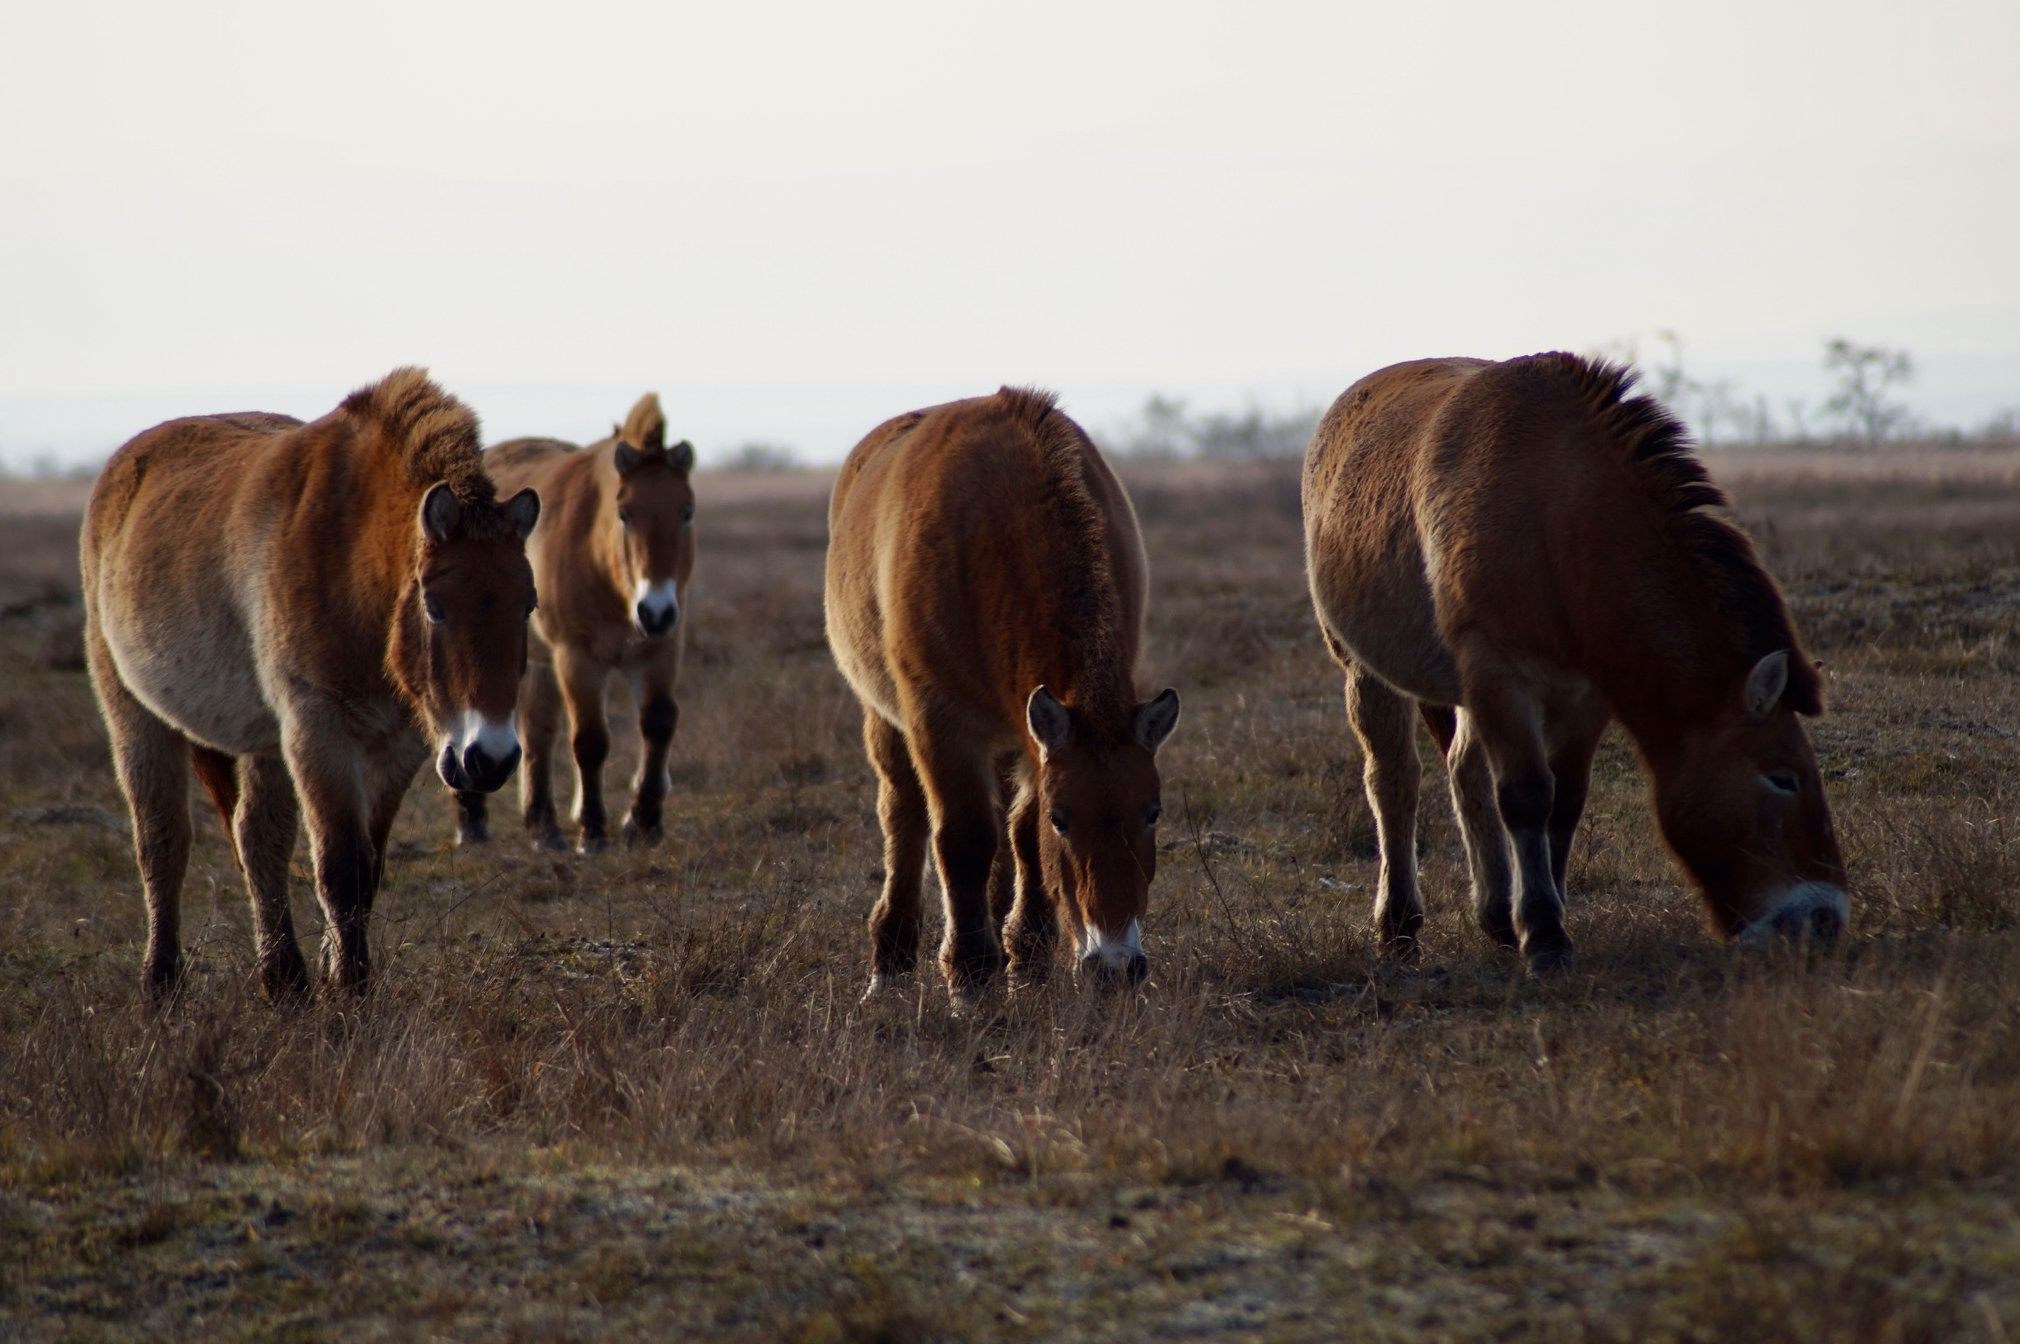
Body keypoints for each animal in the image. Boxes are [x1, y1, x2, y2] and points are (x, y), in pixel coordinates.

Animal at [81, 369, 539, 1000]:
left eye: (529, 606)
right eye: (435, 606)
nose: (488, 760)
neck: (352, 565)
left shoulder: (398, 746)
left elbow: (366, 867)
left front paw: (333, 975)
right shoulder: (319, 733)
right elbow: (341, 869)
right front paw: (349, 992)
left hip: (265, 742)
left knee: (258, 842)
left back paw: (284, 979)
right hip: (136, 716)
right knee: (162, 843)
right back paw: (162, 982)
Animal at [452, 393, 696, 852]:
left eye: (687, 511)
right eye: (624, 513)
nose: (655, 611)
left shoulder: (659, 649)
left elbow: (658, 723)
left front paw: (643, 822)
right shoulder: (576, 657)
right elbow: (590, 740)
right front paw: (593, 831)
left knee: (537, 732)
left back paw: (543, 827)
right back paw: (471, 821)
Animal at [825, 387, 1181, 1009]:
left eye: (1153, 811)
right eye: (1064, 820)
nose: (1116, 966)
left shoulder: (1034, 738)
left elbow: (1020, 839)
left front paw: (1025, 960)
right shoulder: (941, 726)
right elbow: (964, 839)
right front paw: (970, 978)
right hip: (887, 723)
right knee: (905, 815)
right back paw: (890, 962)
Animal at [1302, 353, 1847, 973]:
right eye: (1784, 778)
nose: (1823, 919)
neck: (1555, 516)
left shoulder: (1586, 692)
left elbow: (1563, 800)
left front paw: (1545, 914)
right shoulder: (1499, 672)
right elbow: (1525, 796)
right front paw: (1543, 937)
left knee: (1465, 770)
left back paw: (1496, 914)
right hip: (1366, 671)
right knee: (1394, 780)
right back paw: (1398, 924)